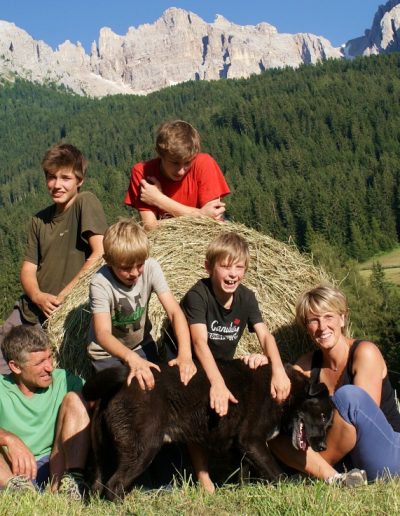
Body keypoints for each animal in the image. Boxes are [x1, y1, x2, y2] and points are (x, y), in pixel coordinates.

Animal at [83, 358, 332, 500]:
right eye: (321, 415)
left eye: (328, 421)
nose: (322, 446)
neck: (285, 391)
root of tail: (124, 379)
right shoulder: (252, 440)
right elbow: (277, 474)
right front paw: (291, 491)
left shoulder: (241, 448)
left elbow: (243, 474)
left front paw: (243, 493)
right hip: (143, 449)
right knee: (114, 486)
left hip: (102, 453)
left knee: (98, 486)